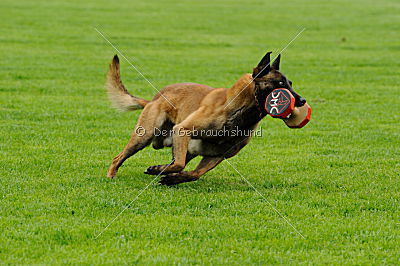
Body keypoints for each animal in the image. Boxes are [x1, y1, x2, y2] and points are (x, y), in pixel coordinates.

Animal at [105, 51, 306, 185]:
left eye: (290, 83)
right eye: (279, 84)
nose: (303, 101)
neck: (240, 111)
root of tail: (154, 98)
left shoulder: (216, 155)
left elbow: (193, 173)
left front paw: (171, 178)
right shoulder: (183, 130)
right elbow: (179, 164)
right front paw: (162, 172)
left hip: (185, 147)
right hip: (144, 135)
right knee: (118, 158)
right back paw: (111, 176)